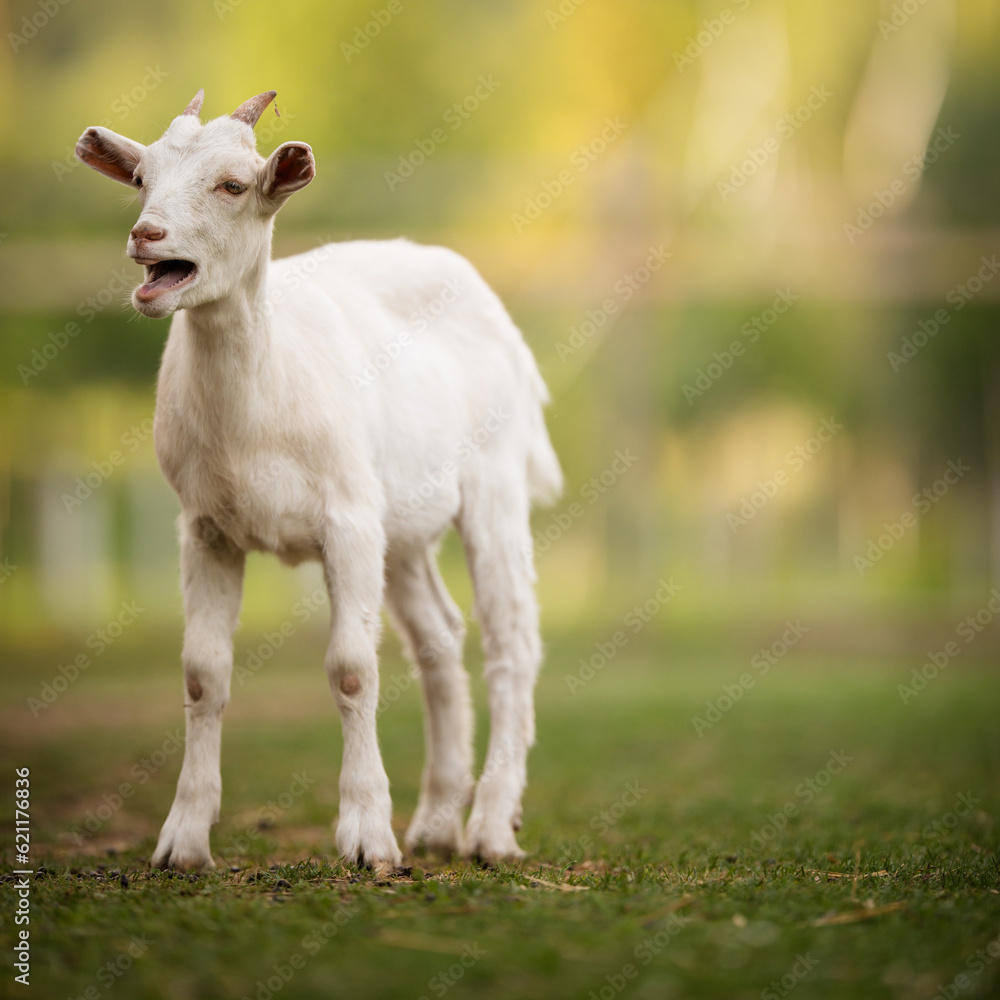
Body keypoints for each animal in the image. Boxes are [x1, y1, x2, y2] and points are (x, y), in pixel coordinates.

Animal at [76, 92, 564, 876]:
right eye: (141, 178)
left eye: (233, 185)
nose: (146, 236)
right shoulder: (204, 527)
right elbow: (202, 673)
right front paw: (183, 841)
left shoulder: (348, 520)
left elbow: (352, 668)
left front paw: (365, 837)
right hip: (401, 525)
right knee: (439, 636)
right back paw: (435, 823)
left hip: (495, 481)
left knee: (511, 639)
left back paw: (492, 827)